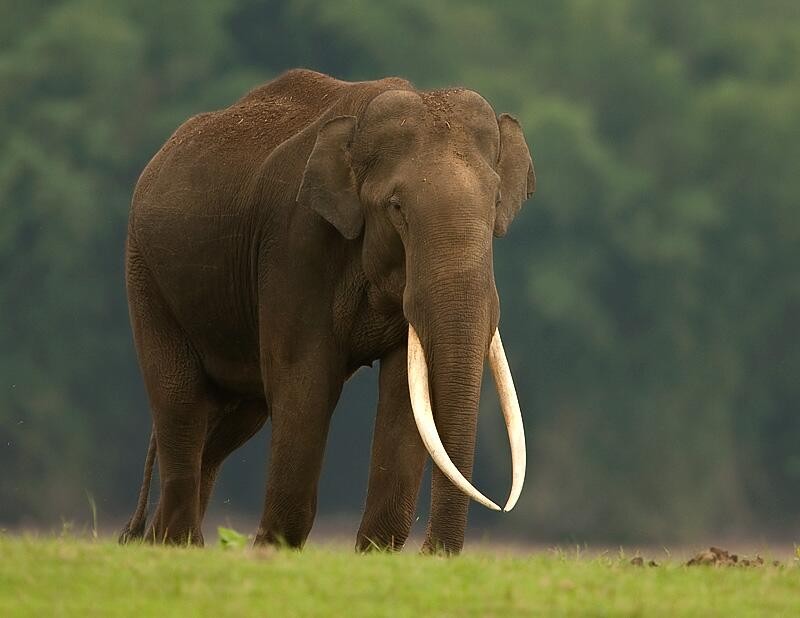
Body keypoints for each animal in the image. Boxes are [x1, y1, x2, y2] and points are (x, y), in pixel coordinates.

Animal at [117, 68, 532, 552]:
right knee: (180, 406)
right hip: (147, 279)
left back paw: (162, 541)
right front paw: (273, 550)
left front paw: (374, 553)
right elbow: (304, 381)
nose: (434, 554)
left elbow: (405, 393)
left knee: (228, 423)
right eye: (396, 208)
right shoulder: (294, 246)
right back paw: (179, 543)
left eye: (496, 204)